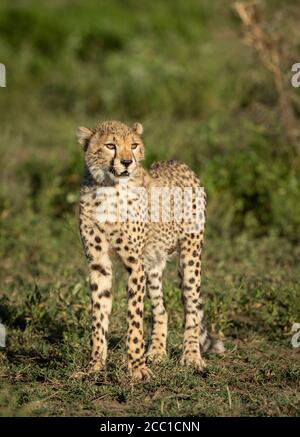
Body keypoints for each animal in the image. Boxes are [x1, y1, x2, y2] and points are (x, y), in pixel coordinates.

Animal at [76, 121, 224, 380]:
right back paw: (156, 352)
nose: (127, 162)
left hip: (190, 256)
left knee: (192, 308)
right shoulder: (98, 264)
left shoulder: (134, 265)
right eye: (110, 145)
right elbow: (98, 315)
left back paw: (192, 357)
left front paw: (137, 368)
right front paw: (94, 366)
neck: (108, 188)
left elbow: (135, 319)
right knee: (161, 310)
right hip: (153, 263)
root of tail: (179, 163)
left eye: (134, 145)